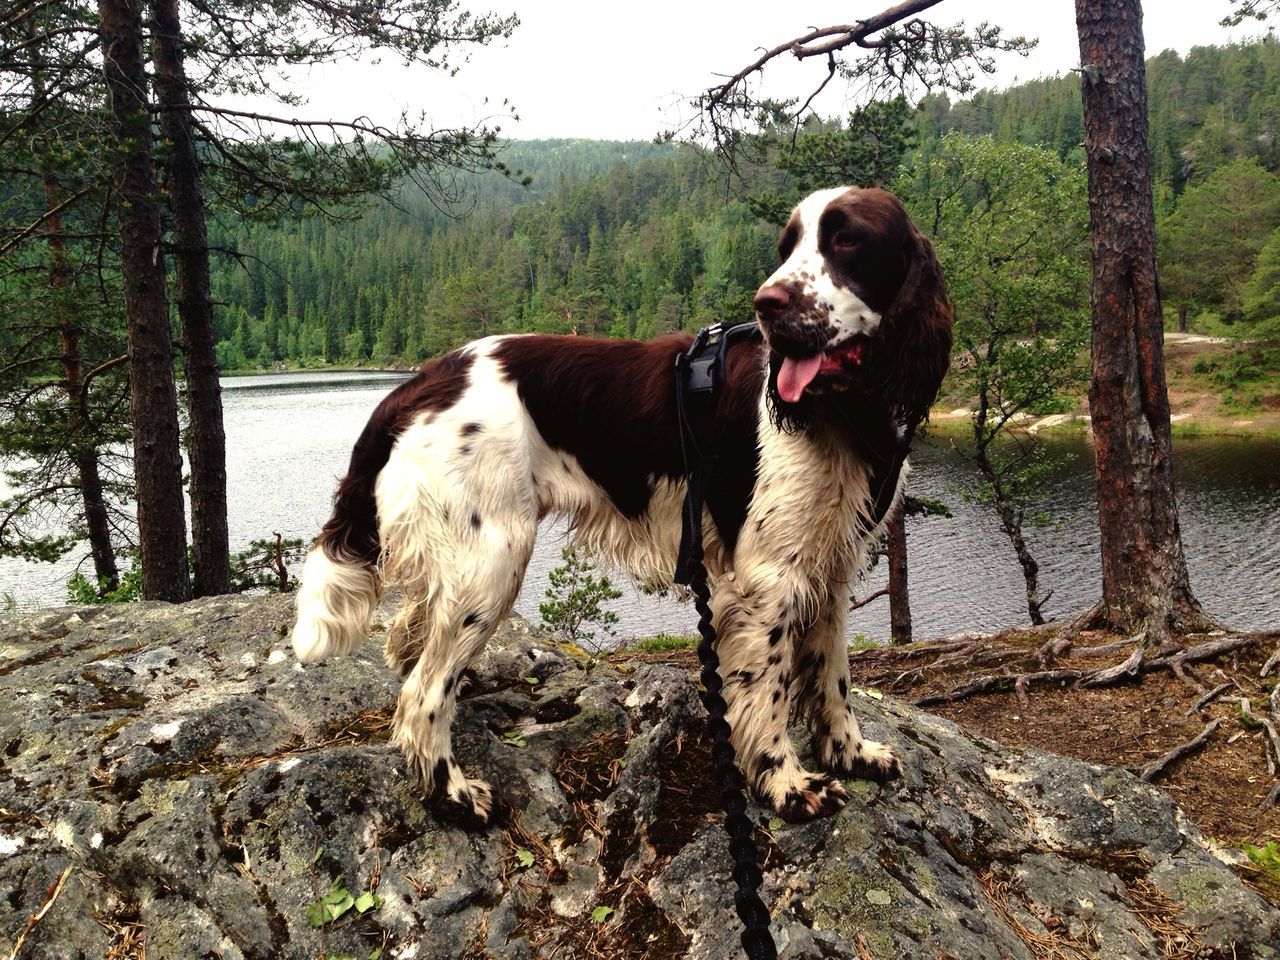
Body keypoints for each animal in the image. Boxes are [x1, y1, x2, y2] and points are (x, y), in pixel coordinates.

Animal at [293, 185, 952, 829]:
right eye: (787, 247)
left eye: (847, 240)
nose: (767, 302)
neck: (844, 411)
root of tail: (422, 381)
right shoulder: (769, 581)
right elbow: (768, 692)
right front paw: (787, 784)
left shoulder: (831, 567)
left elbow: (834, 674)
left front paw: (851, 754)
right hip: (493, 558)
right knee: (422, 694)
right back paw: (451, 795)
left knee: (410, 639)